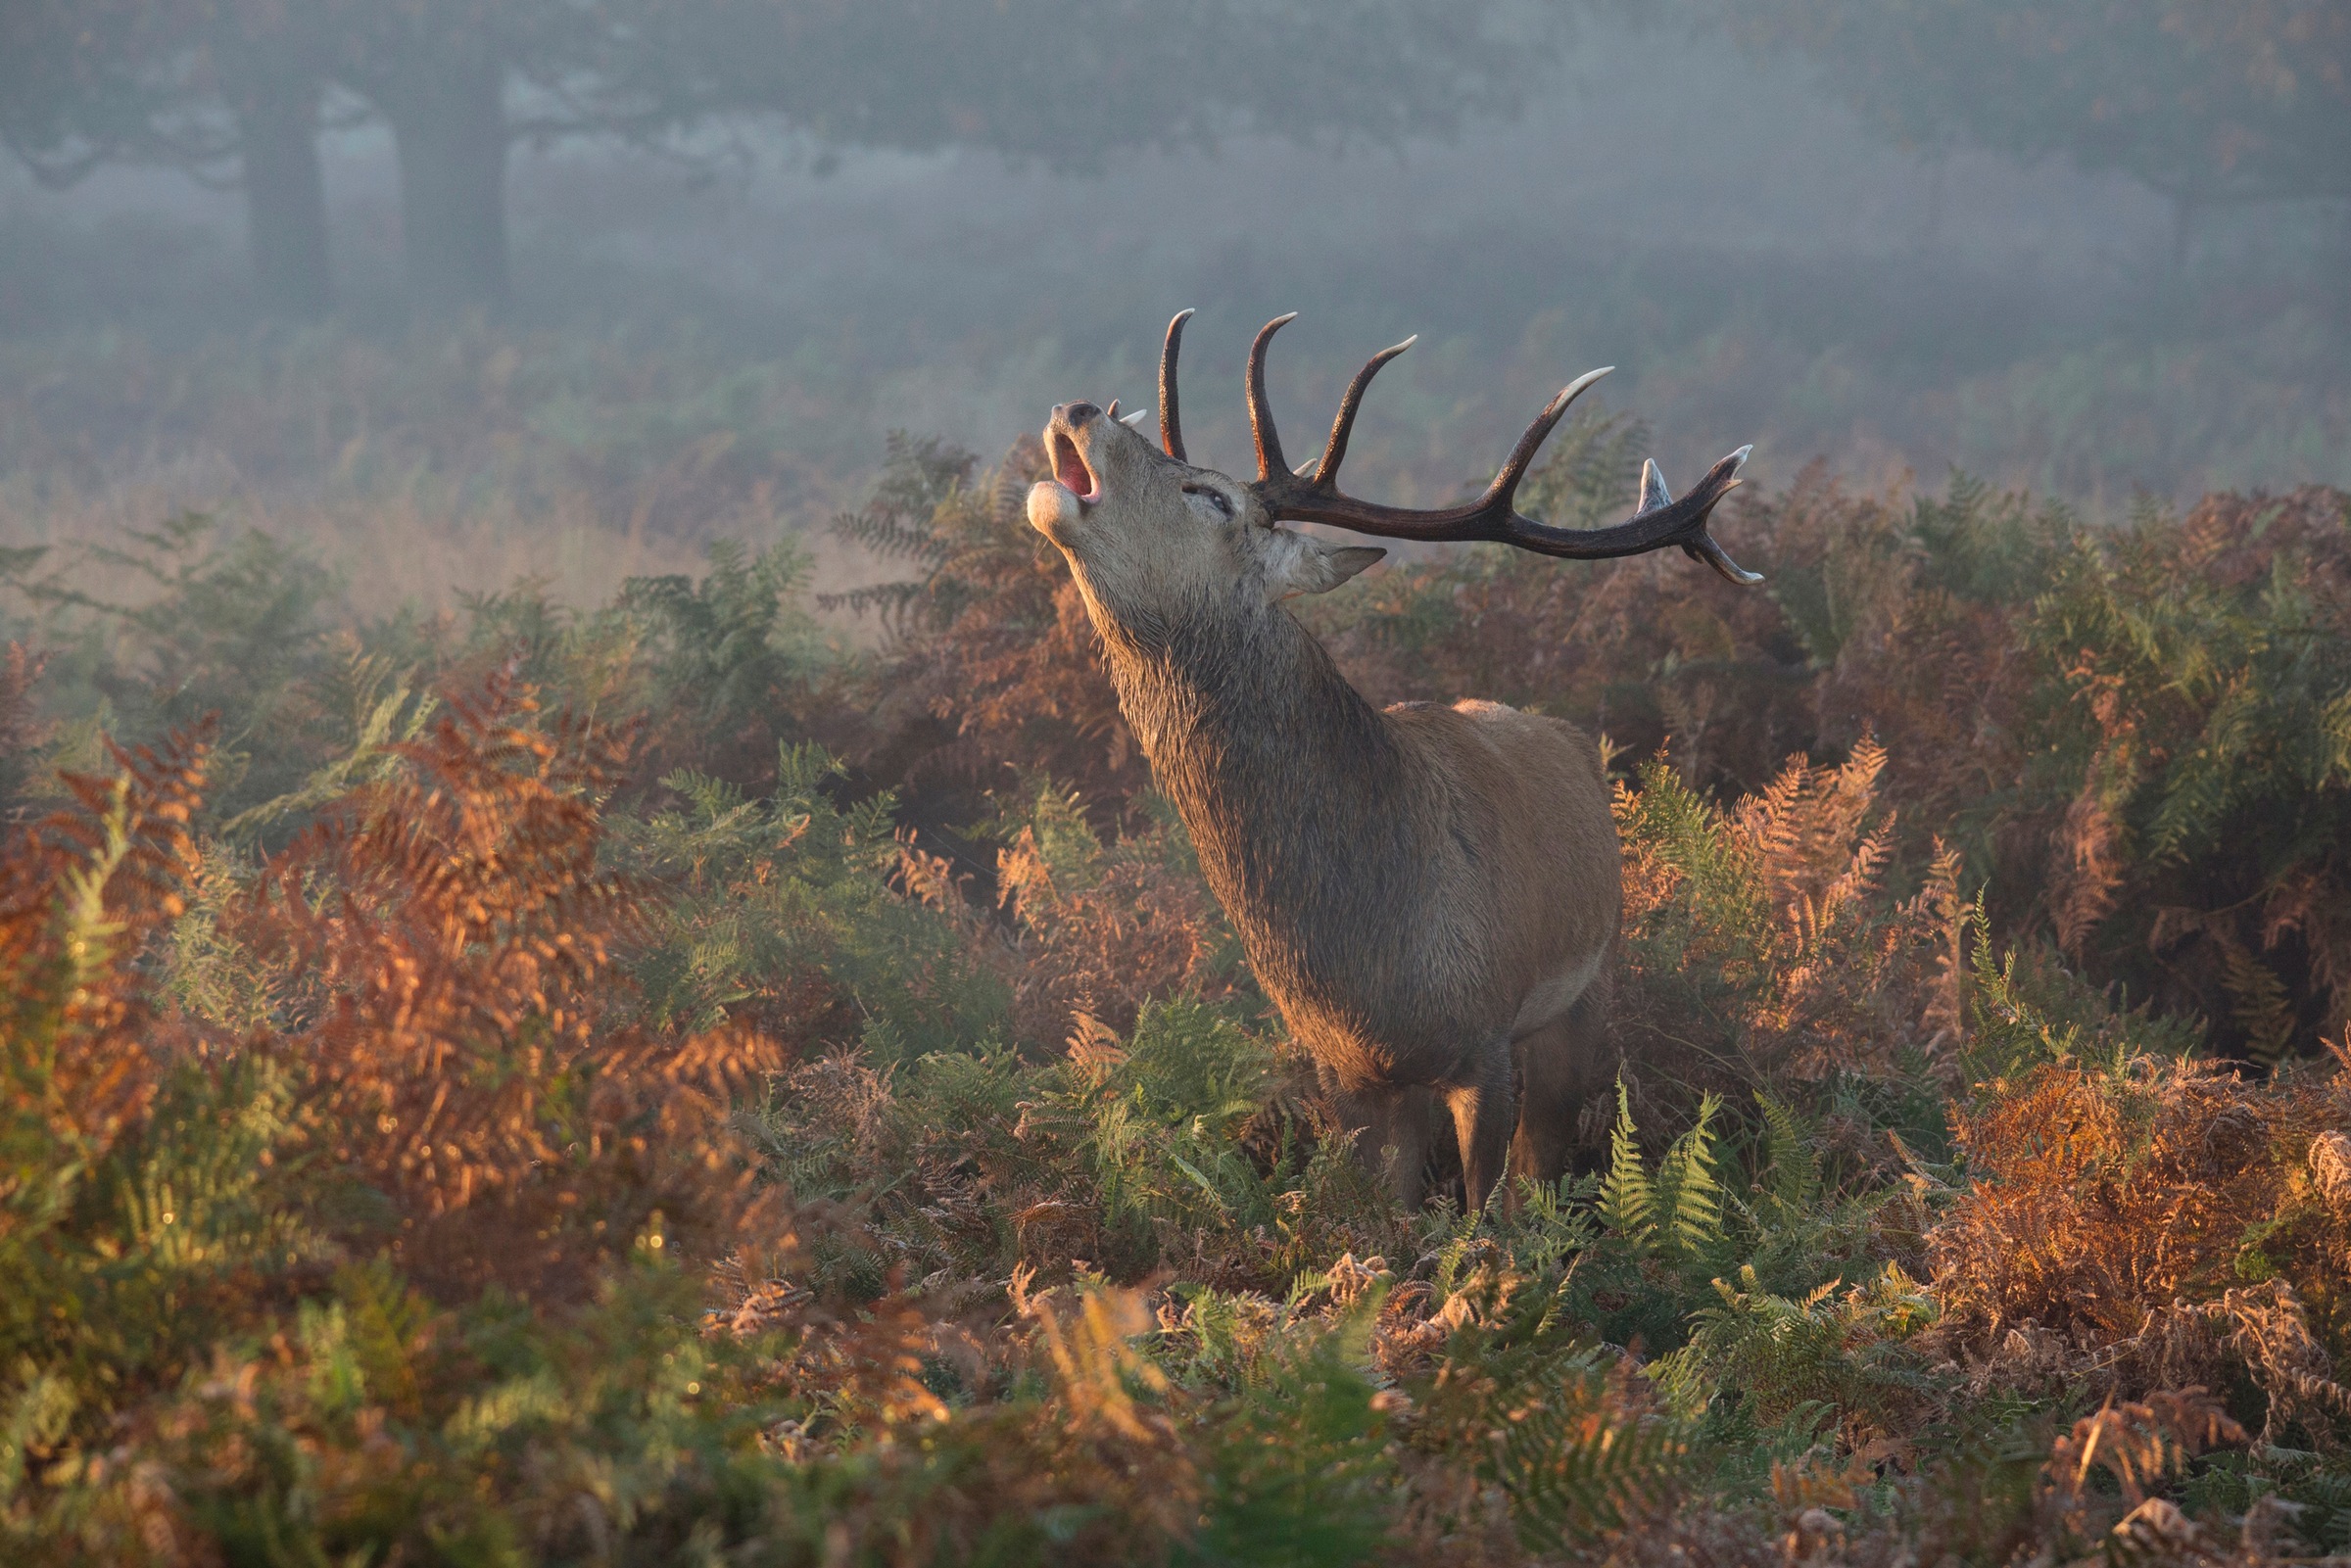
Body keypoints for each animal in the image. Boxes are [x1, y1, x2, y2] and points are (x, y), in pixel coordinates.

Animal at [1027, 310, 1761, 1210]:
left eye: (1211, 493)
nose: (1077, 407)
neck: (1367, 957)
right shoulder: (1344, 1070)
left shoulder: (1485, 1037)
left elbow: (1485, 1211)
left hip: (1588, 984)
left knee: (1544, 1154)